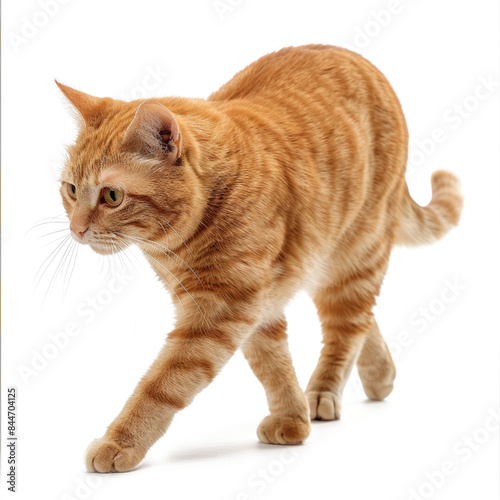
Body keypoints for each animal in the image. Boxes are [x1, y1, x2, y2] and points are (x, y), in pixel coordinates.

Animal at [54, 44, 460, 472]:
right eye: (71, 189)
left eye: (112, 196)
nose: (76, 229)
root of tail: (362, 61)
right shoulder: (254, 304)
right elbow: (271, 362)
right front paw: (292, 419)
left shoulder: (220, 311)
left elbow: (163, 383)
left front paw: (120, 442)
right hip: (321, 260)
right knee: (362, 317)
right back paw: (380, 373)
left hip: (355, 252)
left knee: (347, 324)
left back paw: (324, 391)